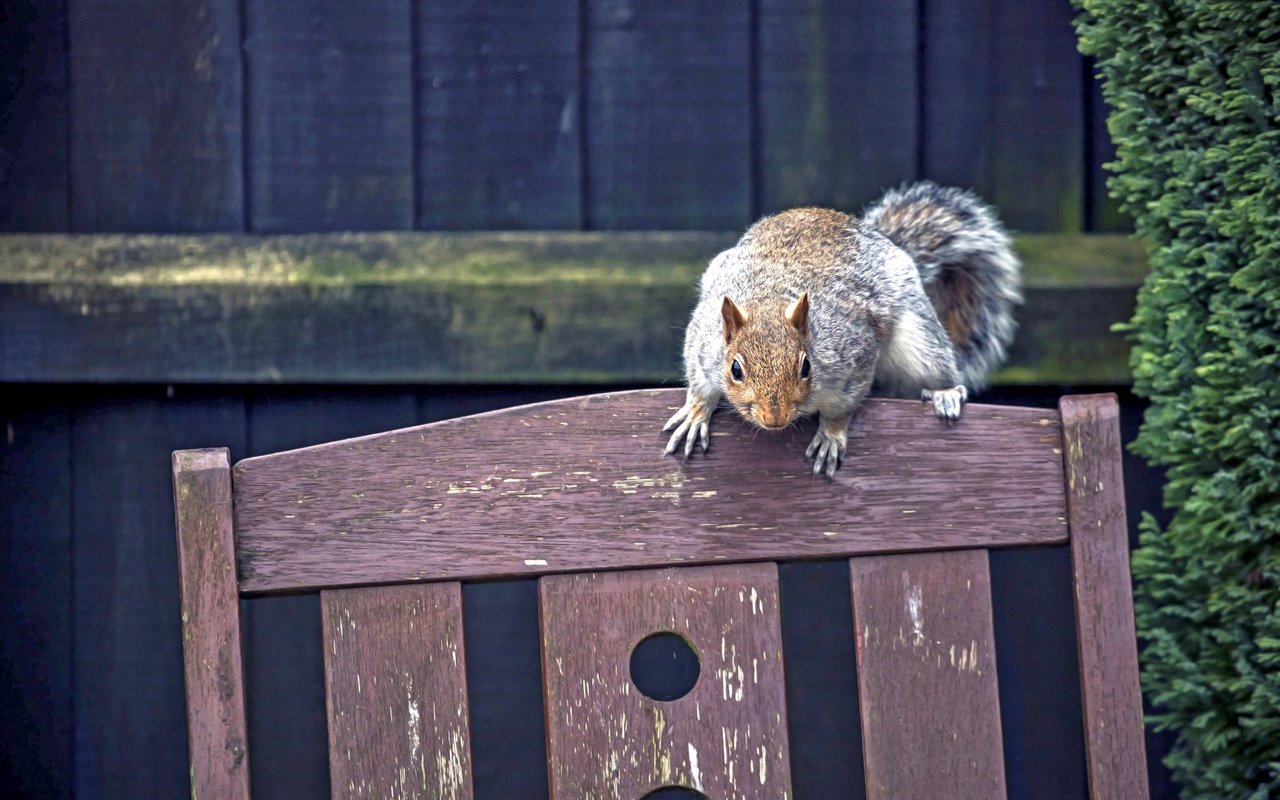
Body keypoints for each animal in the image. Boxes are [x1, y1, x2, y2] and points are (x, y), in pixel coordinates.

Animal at [665, 180, 1024, 473]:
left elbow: (843, 405)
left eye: (806, 367)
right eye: (735, 369)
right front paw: (695, 413)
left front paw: (831, 434)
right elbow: (700, 385)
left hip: (919, 337)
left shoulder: (853, 357)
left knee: (937, 366)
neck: (770, 298)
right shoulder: (703, 345)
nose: (774, 419)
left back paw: (946, 393)